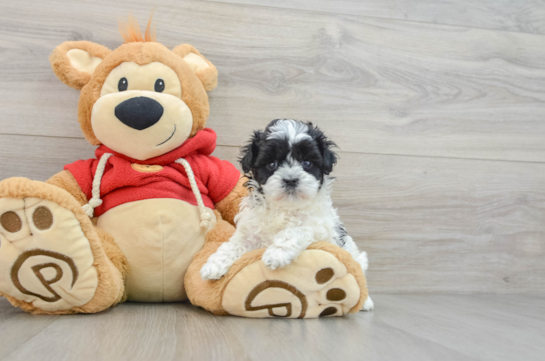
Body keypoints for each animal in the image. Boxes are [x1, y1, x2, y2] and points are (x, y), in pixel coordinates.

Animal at [202, 118, 372, 310]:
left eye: (307, 163)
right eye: (272, 164)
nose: (291, 180)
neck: (285, 207)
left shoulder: (320, 227)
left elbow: (296, 230)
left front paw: (276, 253)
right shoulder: (251, 229)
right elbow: (234, 244)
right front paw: (214, 264)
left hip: (356, 255)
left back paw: (365, 301)